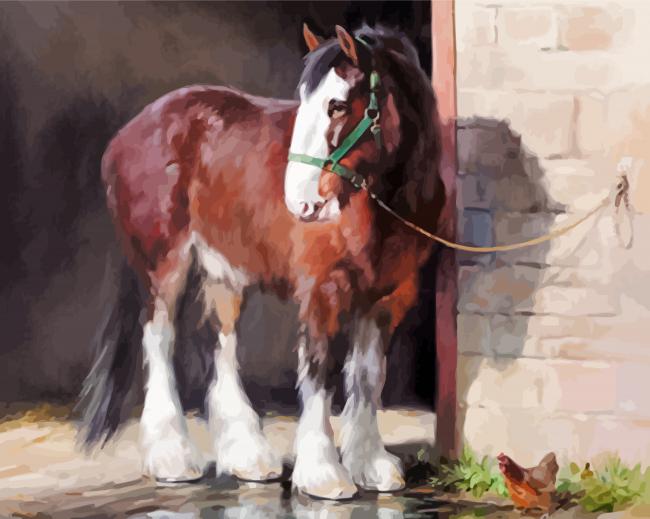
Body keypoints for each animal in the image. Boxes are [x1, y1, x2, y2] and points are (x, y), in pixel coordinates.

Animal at [78, 23, 445, 500]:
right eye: (304, 102)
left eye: (337, 104)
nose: (300, 202)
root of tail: (129, 132)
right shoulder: (322, 292)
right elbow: (319, 373)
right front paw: (324, 473)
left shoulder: (388, 298)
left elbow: (367, 376)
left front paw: (370, 466)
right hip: (164, 267)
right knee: (159, 339)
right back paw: (172, 457)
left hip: (223, 272)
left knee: (221, 342)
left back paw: (247, 457)